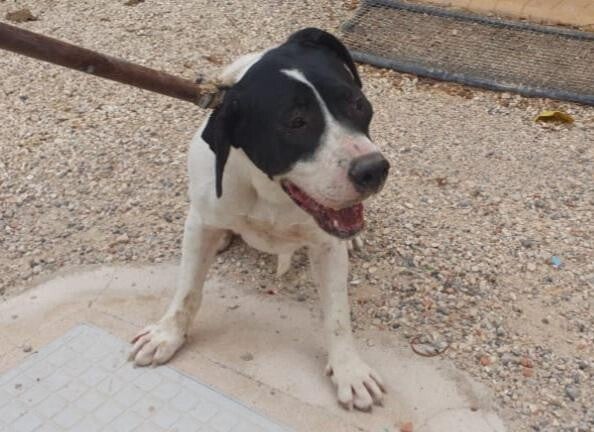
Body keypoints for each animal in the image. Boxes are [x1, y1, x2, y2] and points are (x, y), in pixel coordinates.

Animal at [130, 28, 390, 411]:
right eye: (296, 123)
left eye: (357, 103)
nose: (373, 169)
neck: (271, 193)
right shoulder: (199, 224)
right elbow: (187, 291)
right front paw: (167, 335)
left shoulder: (327, 246)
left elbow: (338, 315)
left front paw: (349, 370)